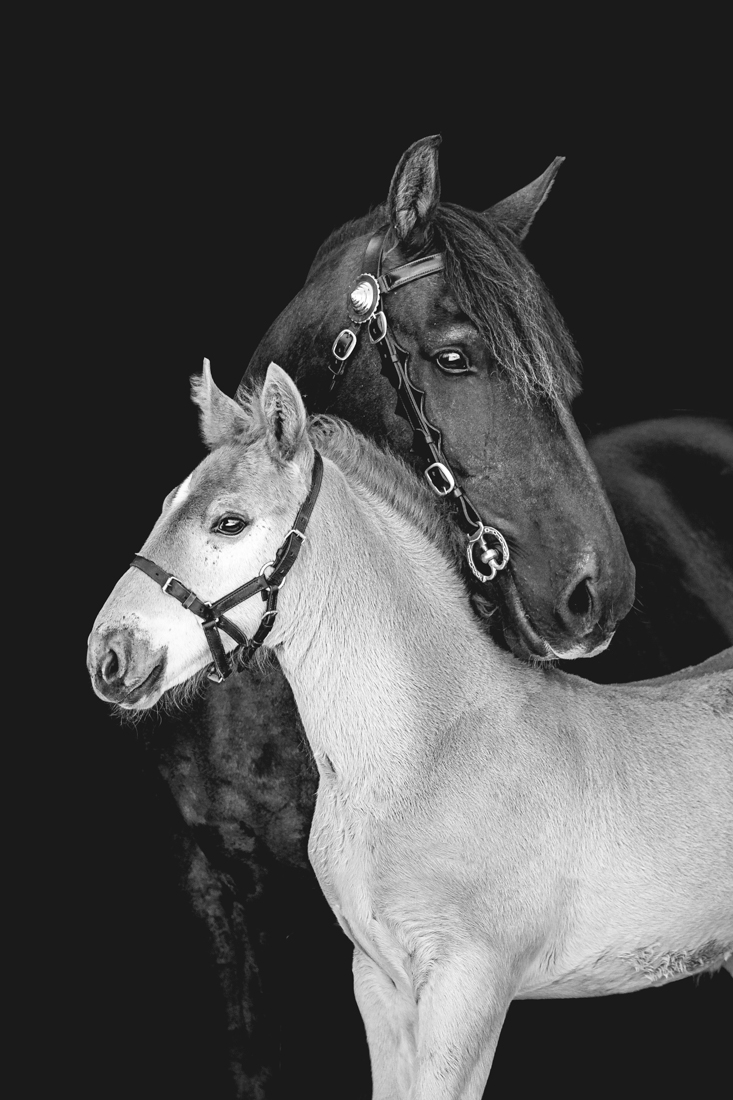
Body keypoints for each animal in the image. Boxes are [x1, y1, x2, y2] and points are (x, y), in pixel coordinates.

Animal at [88, 362, 733, 1100]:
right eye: (167, 502)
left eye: (230, 522)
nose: (109, 655)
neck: (428, 752)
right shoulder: (379, 984)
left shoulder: (468, 988)